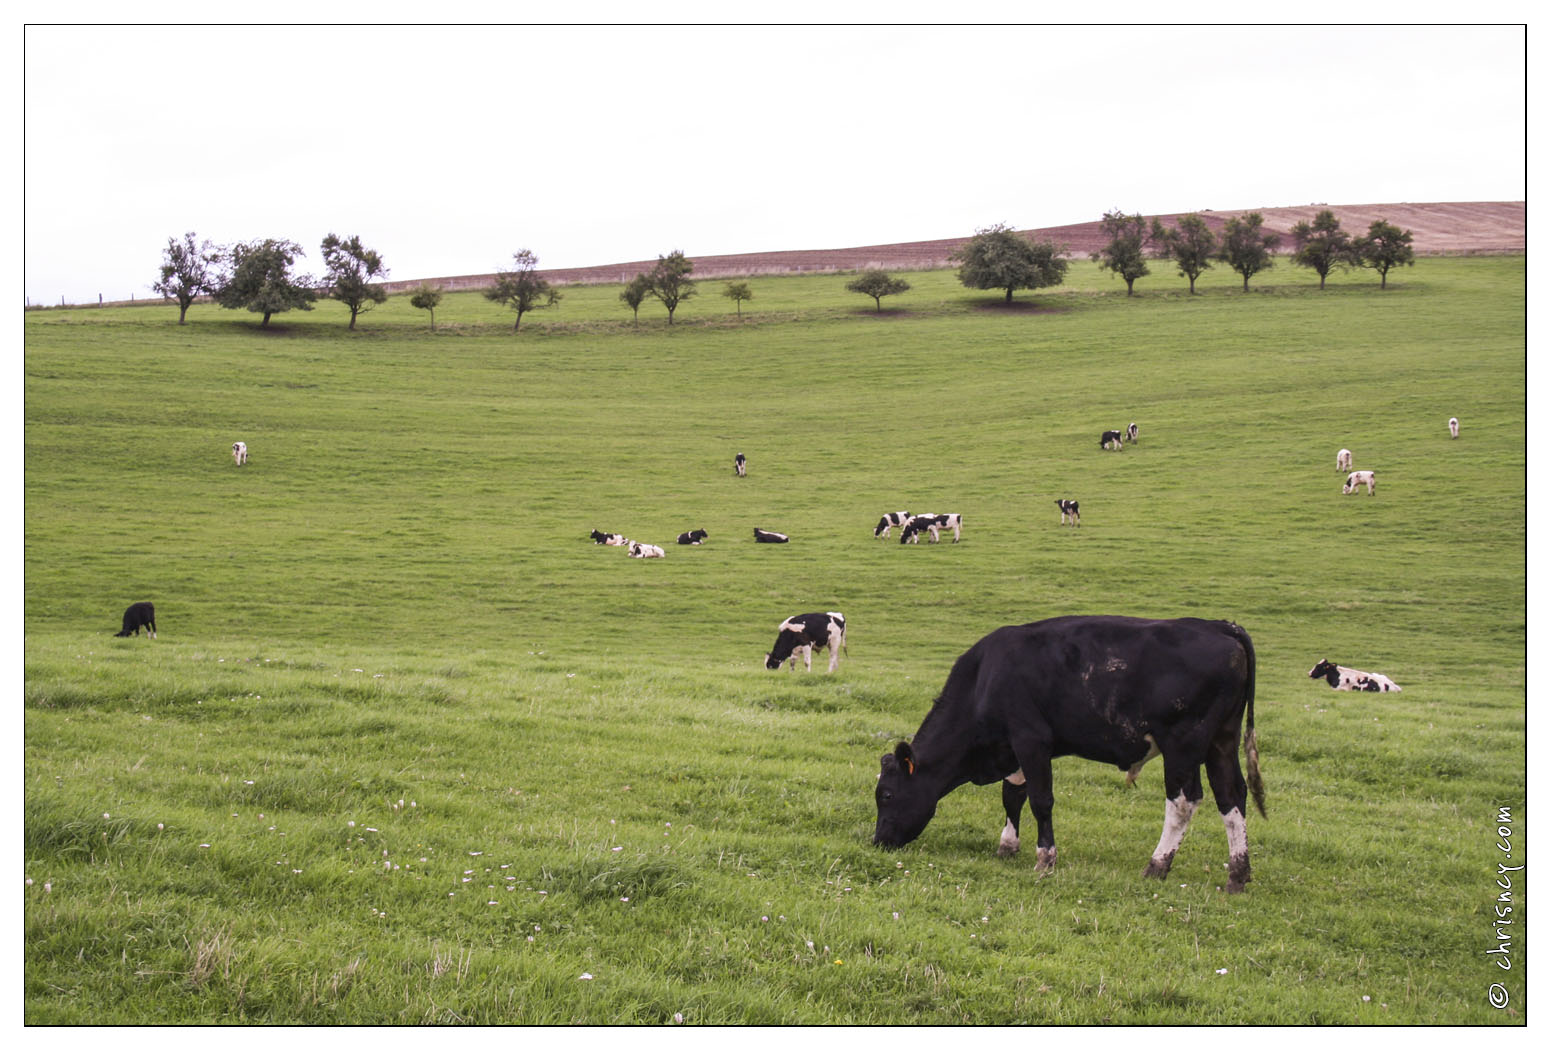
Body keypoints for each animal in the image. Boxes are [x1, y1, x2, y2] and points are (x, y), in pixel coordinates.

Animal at [874, 616, 1259, 899]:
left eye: (887, 795)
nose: (879, 842)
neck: (985, 678)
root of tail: (1219, 625)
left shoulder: (1031, 739)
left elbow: (1040, 800)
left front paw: (1045, 858)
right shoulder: (1012, 748)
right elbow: (1012, 795)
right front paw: (1008, 846)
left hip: (1183, 745)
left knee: (1183, 802)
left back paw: (1157, 865)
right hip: (1222, 741)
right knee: (1231, 797)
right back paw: (1238, 875)